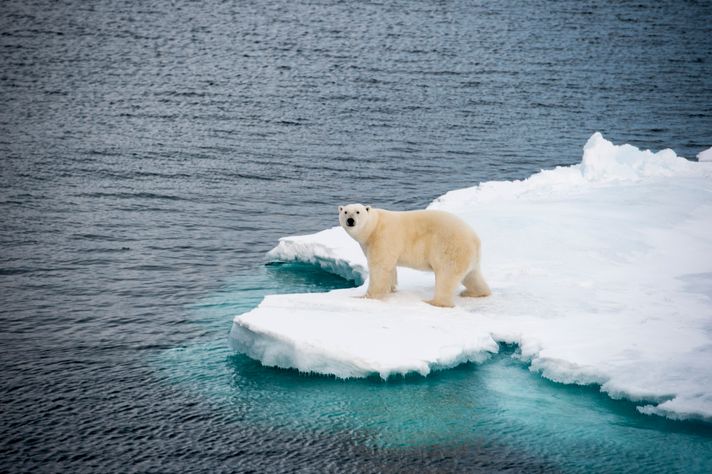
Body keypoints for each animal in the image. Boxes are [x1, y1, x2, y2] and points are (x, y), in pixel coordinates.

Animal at [338, 203, 491, 308]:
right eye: (345, 211)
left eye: (357, 212)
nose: (350, 220)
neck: (374, 226)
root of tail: (475, 239)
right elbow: (390, 267)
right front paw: (392, 289)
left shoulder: (383, 237)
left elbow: (380, 266)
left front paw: (366, 297)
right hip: (468, 256)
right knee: (472, 276)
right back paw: (474, 293)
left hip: (450, 248)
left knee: (446, 276)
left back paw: (434, 302)